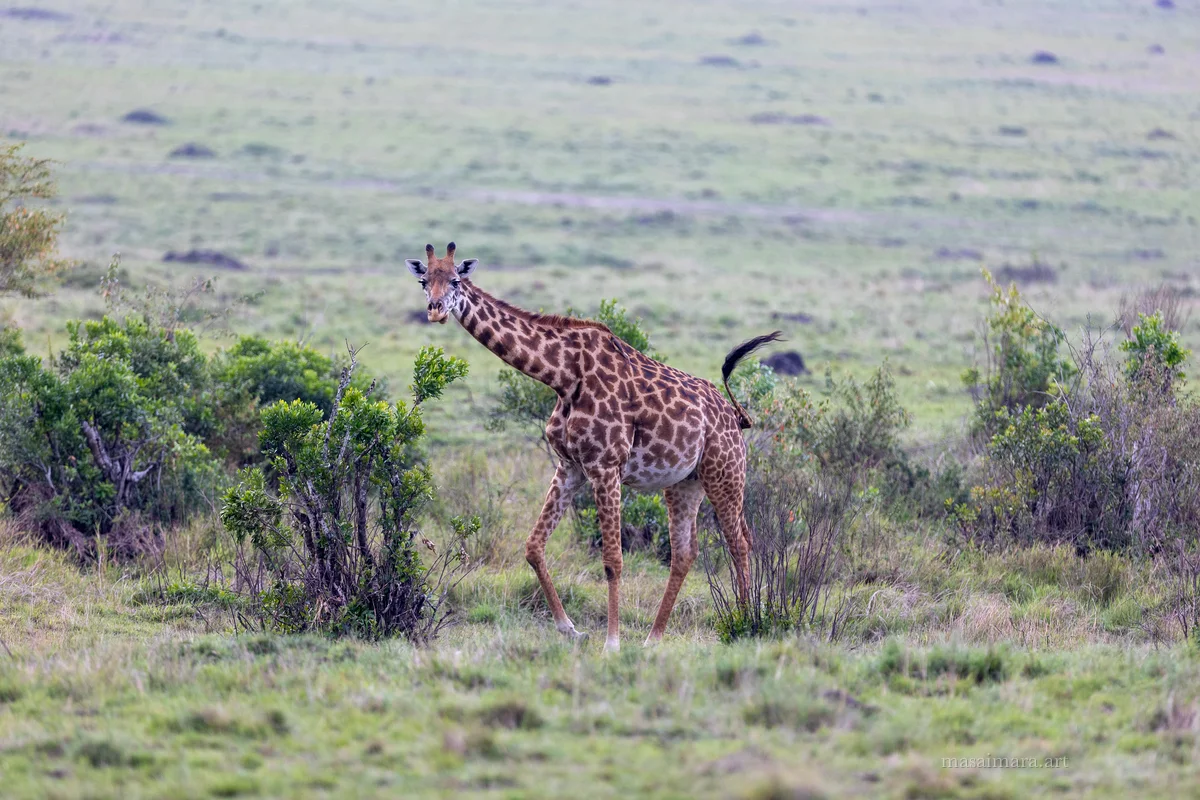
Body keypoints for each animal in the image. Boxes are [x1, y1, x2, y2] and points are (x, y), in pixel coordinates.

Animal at [406, 243, 781, 651]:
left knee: (739, 542)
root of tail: (735, 415)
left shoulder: (605, 466)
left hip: (724, 473)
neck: (563, 375)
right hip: (685, 483)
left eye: (456, 280)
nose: (435, 309)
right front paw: (570, 628)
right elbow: (533, 547)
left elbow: (612, 560)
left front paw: (611, 643)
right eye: (424, 281)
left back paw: (744, 624)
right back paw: (653, 638)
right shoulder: (570, 466)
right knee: (685, 553)